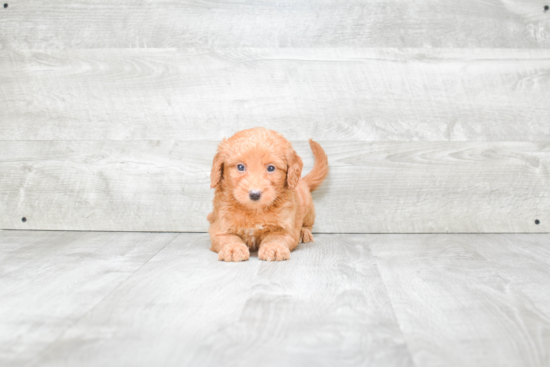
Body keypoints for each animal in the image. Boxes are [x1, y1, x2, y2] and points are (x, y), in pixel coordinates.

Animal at [207, 128, 328, 264]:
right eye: (240, 167)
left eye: (271, 168)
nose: (255, 194)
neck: (254, 211)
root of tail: (302, 181)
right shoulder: (219, 227)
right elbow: (228, 238)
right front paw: (233, 248)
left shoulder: (286, 229)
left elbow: (275, 237)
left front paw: (273, 248)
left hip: (308, 208)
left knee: (308, 224)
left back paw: (304, 232)